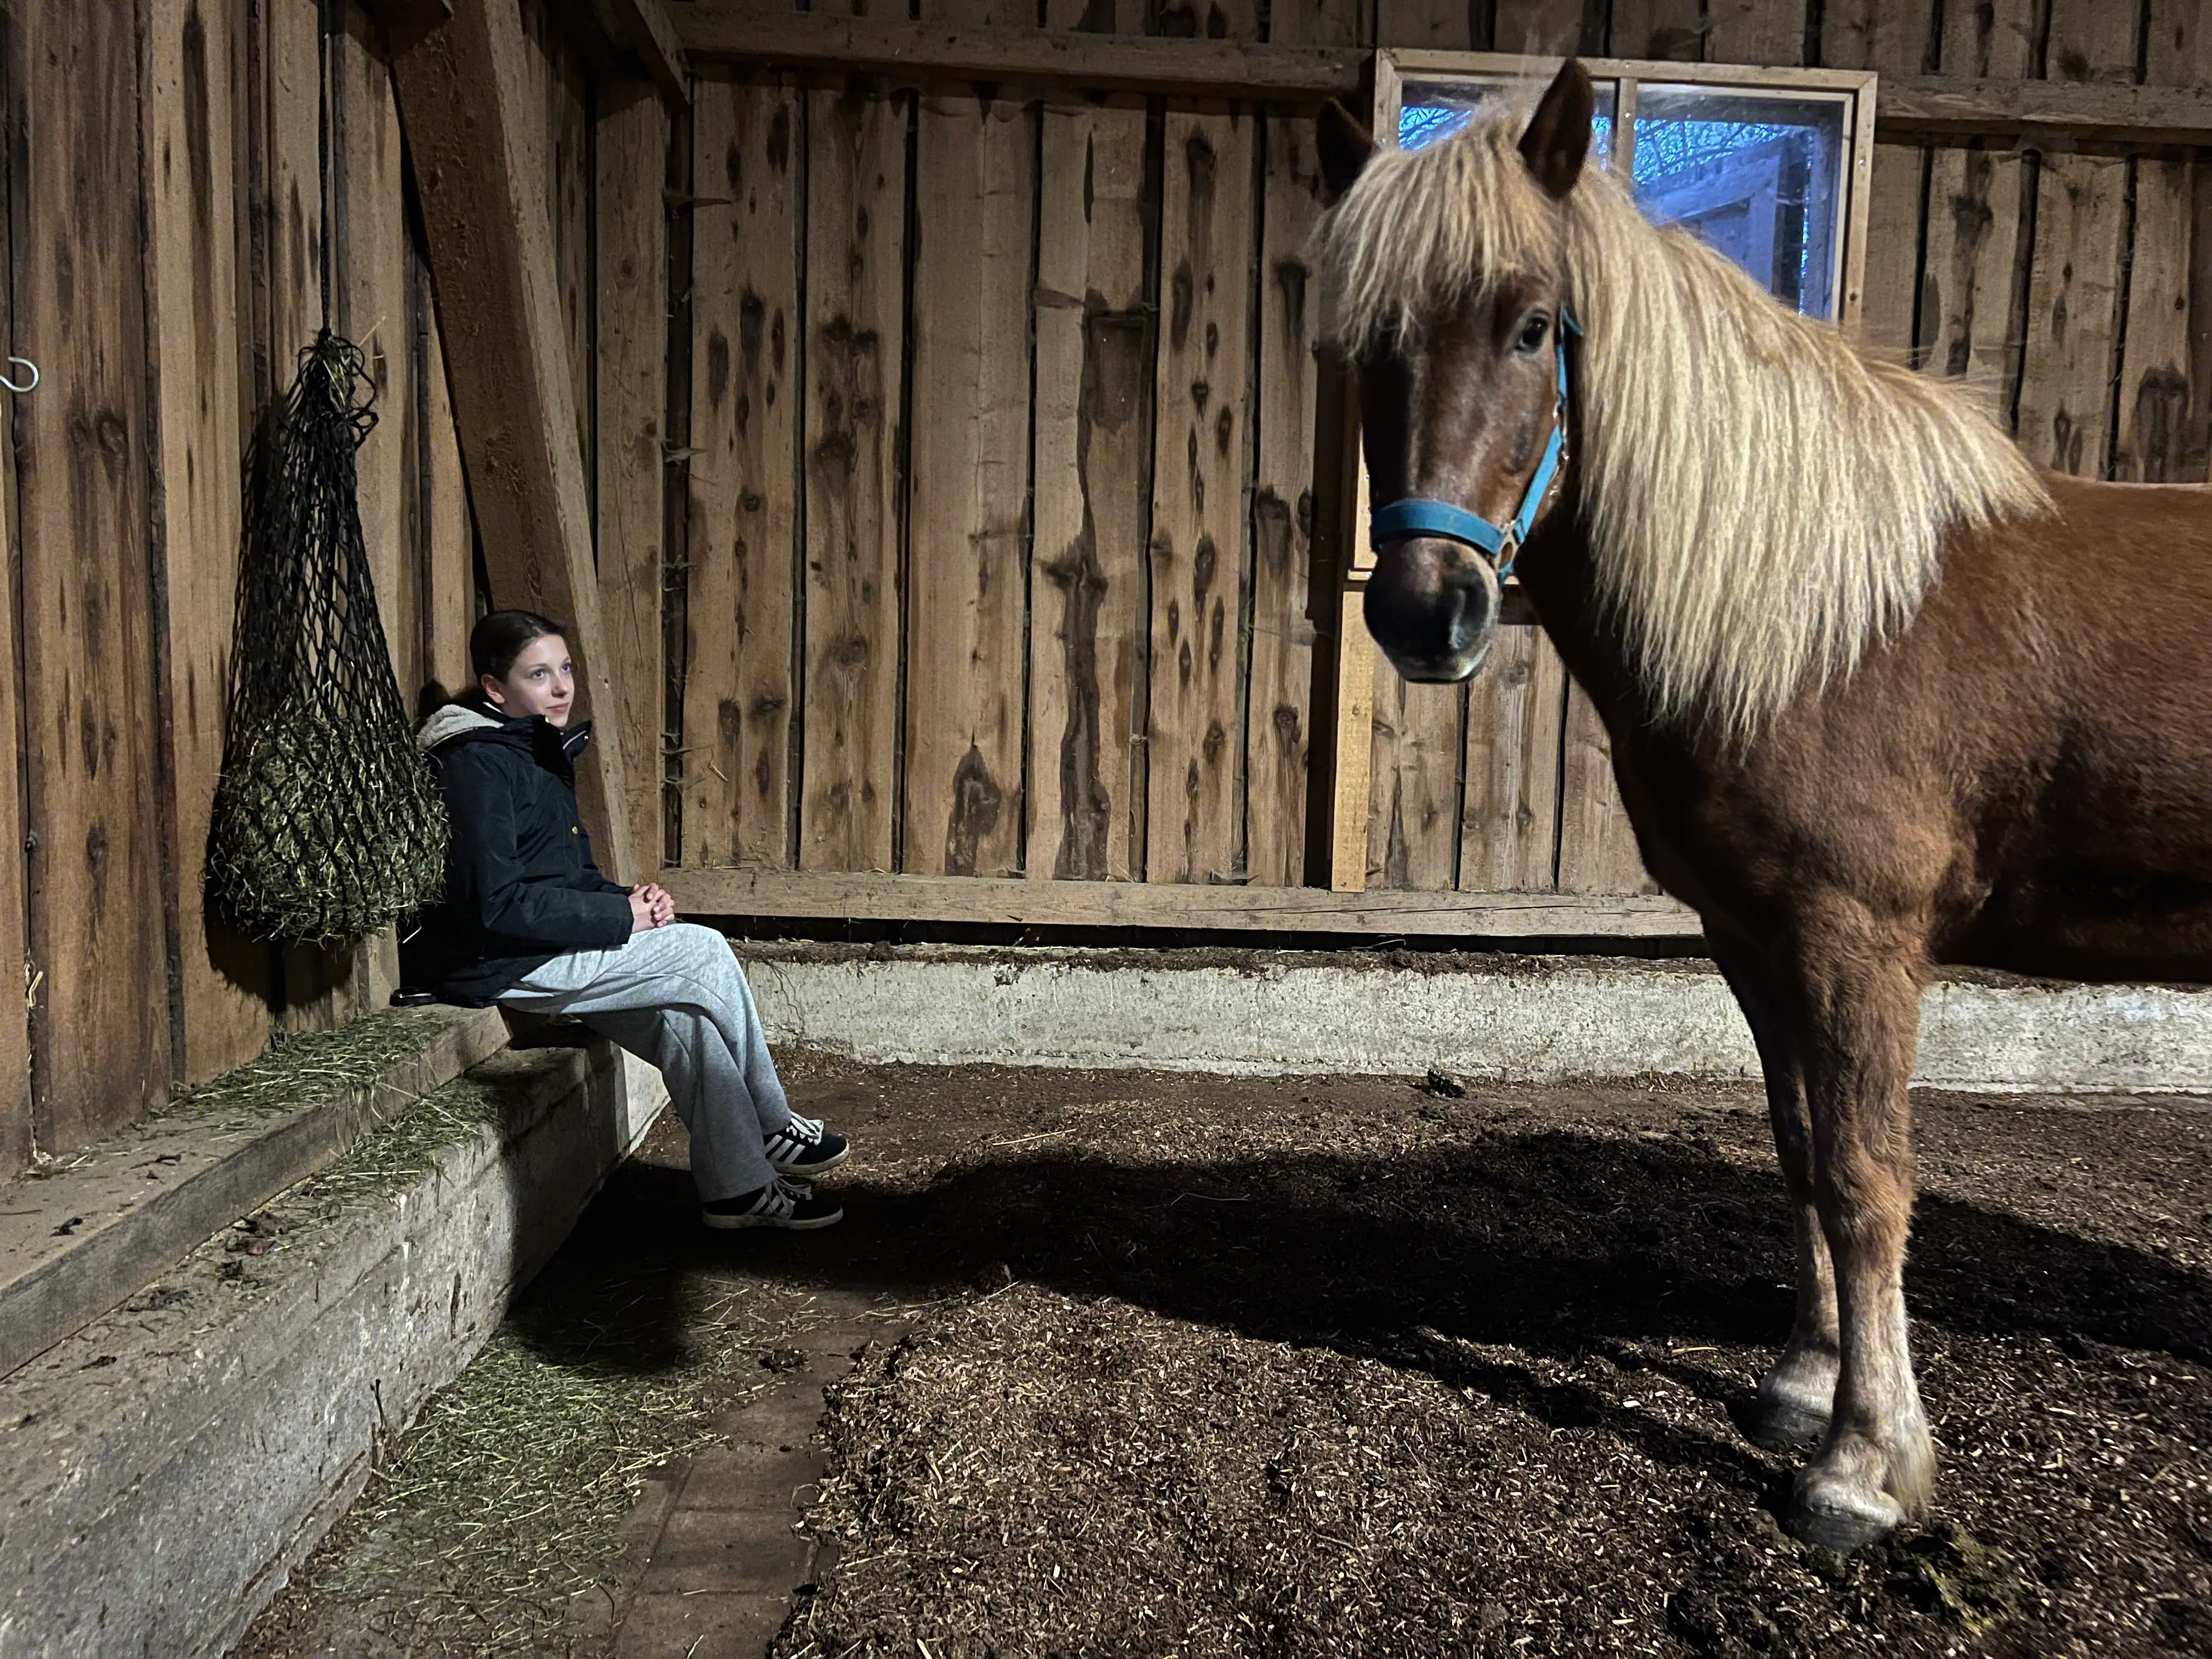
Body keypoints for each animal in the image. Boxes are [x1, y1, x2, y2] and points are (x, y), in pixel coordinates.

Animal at [1312, 61, 2212, 1552]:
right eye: (1361, 347)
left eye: (1533, 325)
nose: (1426, 613)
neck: (1820, 619)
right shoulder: (1758, 934)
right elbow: (1798, 1148)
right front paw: (1802, 1383)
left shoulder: (1858, 939)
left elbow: (1864, 1179)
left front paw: (1864, 1466)